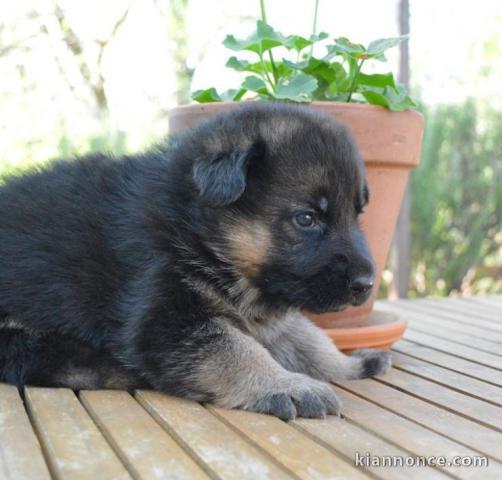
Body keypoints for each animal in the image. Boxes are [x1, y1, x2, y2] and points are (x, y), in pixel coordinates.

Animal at [0, 102, 390, 420]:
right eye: (307, 219)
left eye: (357, 214)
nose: (366, 284)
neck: (195, 228)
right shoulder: (167, 319)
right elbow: (238, 349)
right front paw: (288, 385)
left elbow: (309, 339)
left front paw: (349, 364)